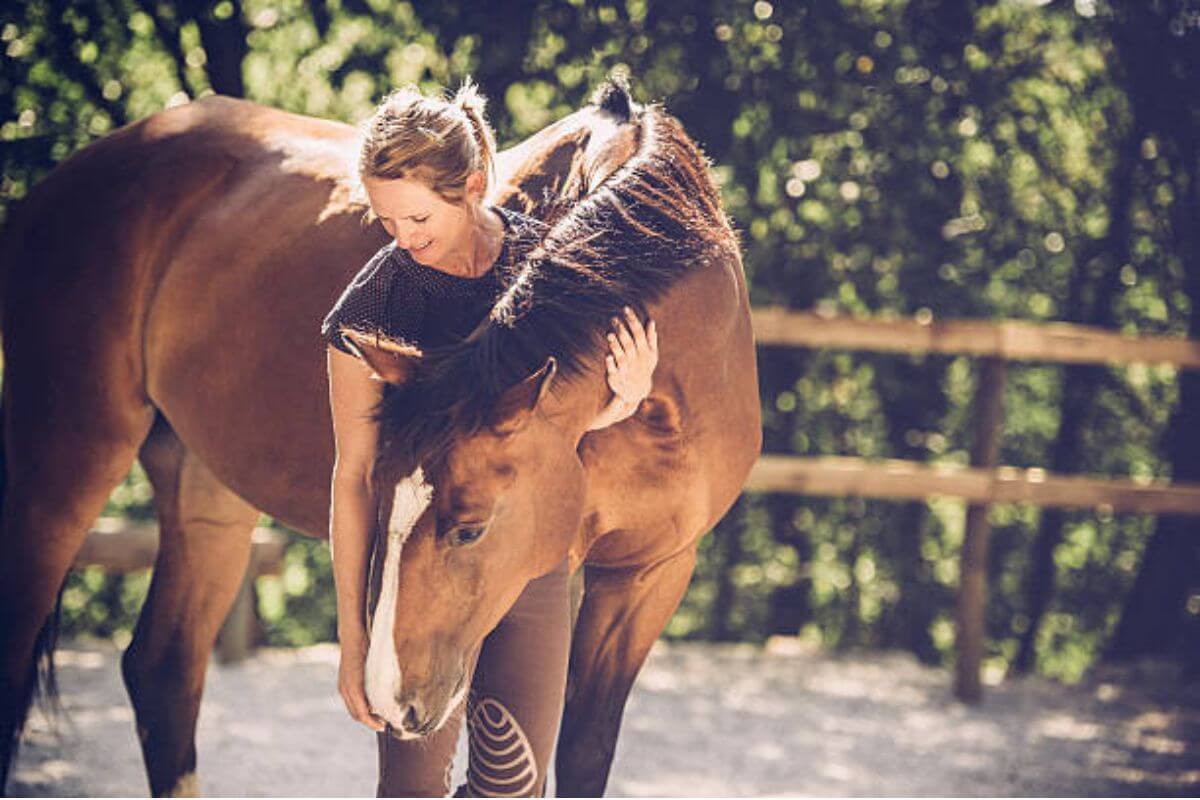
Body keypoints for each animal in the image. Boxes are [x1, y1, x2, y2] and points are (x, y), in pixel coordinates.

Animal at [0, 79, 758, 796]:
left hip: (205, 495)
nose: (393, 702)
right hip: (65, 461)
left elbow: (581, 756)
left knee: (162, 669)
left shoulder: (649, 576)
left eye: (470, 529)